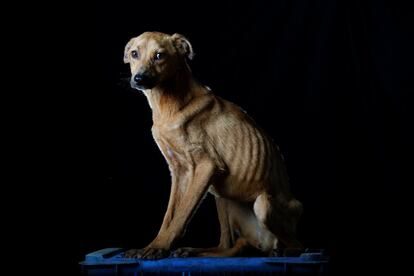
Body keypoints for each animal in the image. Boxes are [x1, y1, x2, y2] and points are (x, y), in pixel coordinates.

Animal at [122, 31, 300, 258]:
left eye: (159, 55)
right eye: (134, 54)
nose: (139, 78)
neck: (170, 103)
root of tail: (262, 242)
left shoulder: (206, 167)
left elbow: (181, 214)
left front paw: (158, 247)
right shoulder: (179, 172)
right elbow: (169, 215)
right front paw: (154, 244)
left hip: (262, 204)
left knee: (298, 244)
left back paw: (286, 251)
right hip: (222, 197)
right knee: (225, 246)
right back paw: (193, 251)